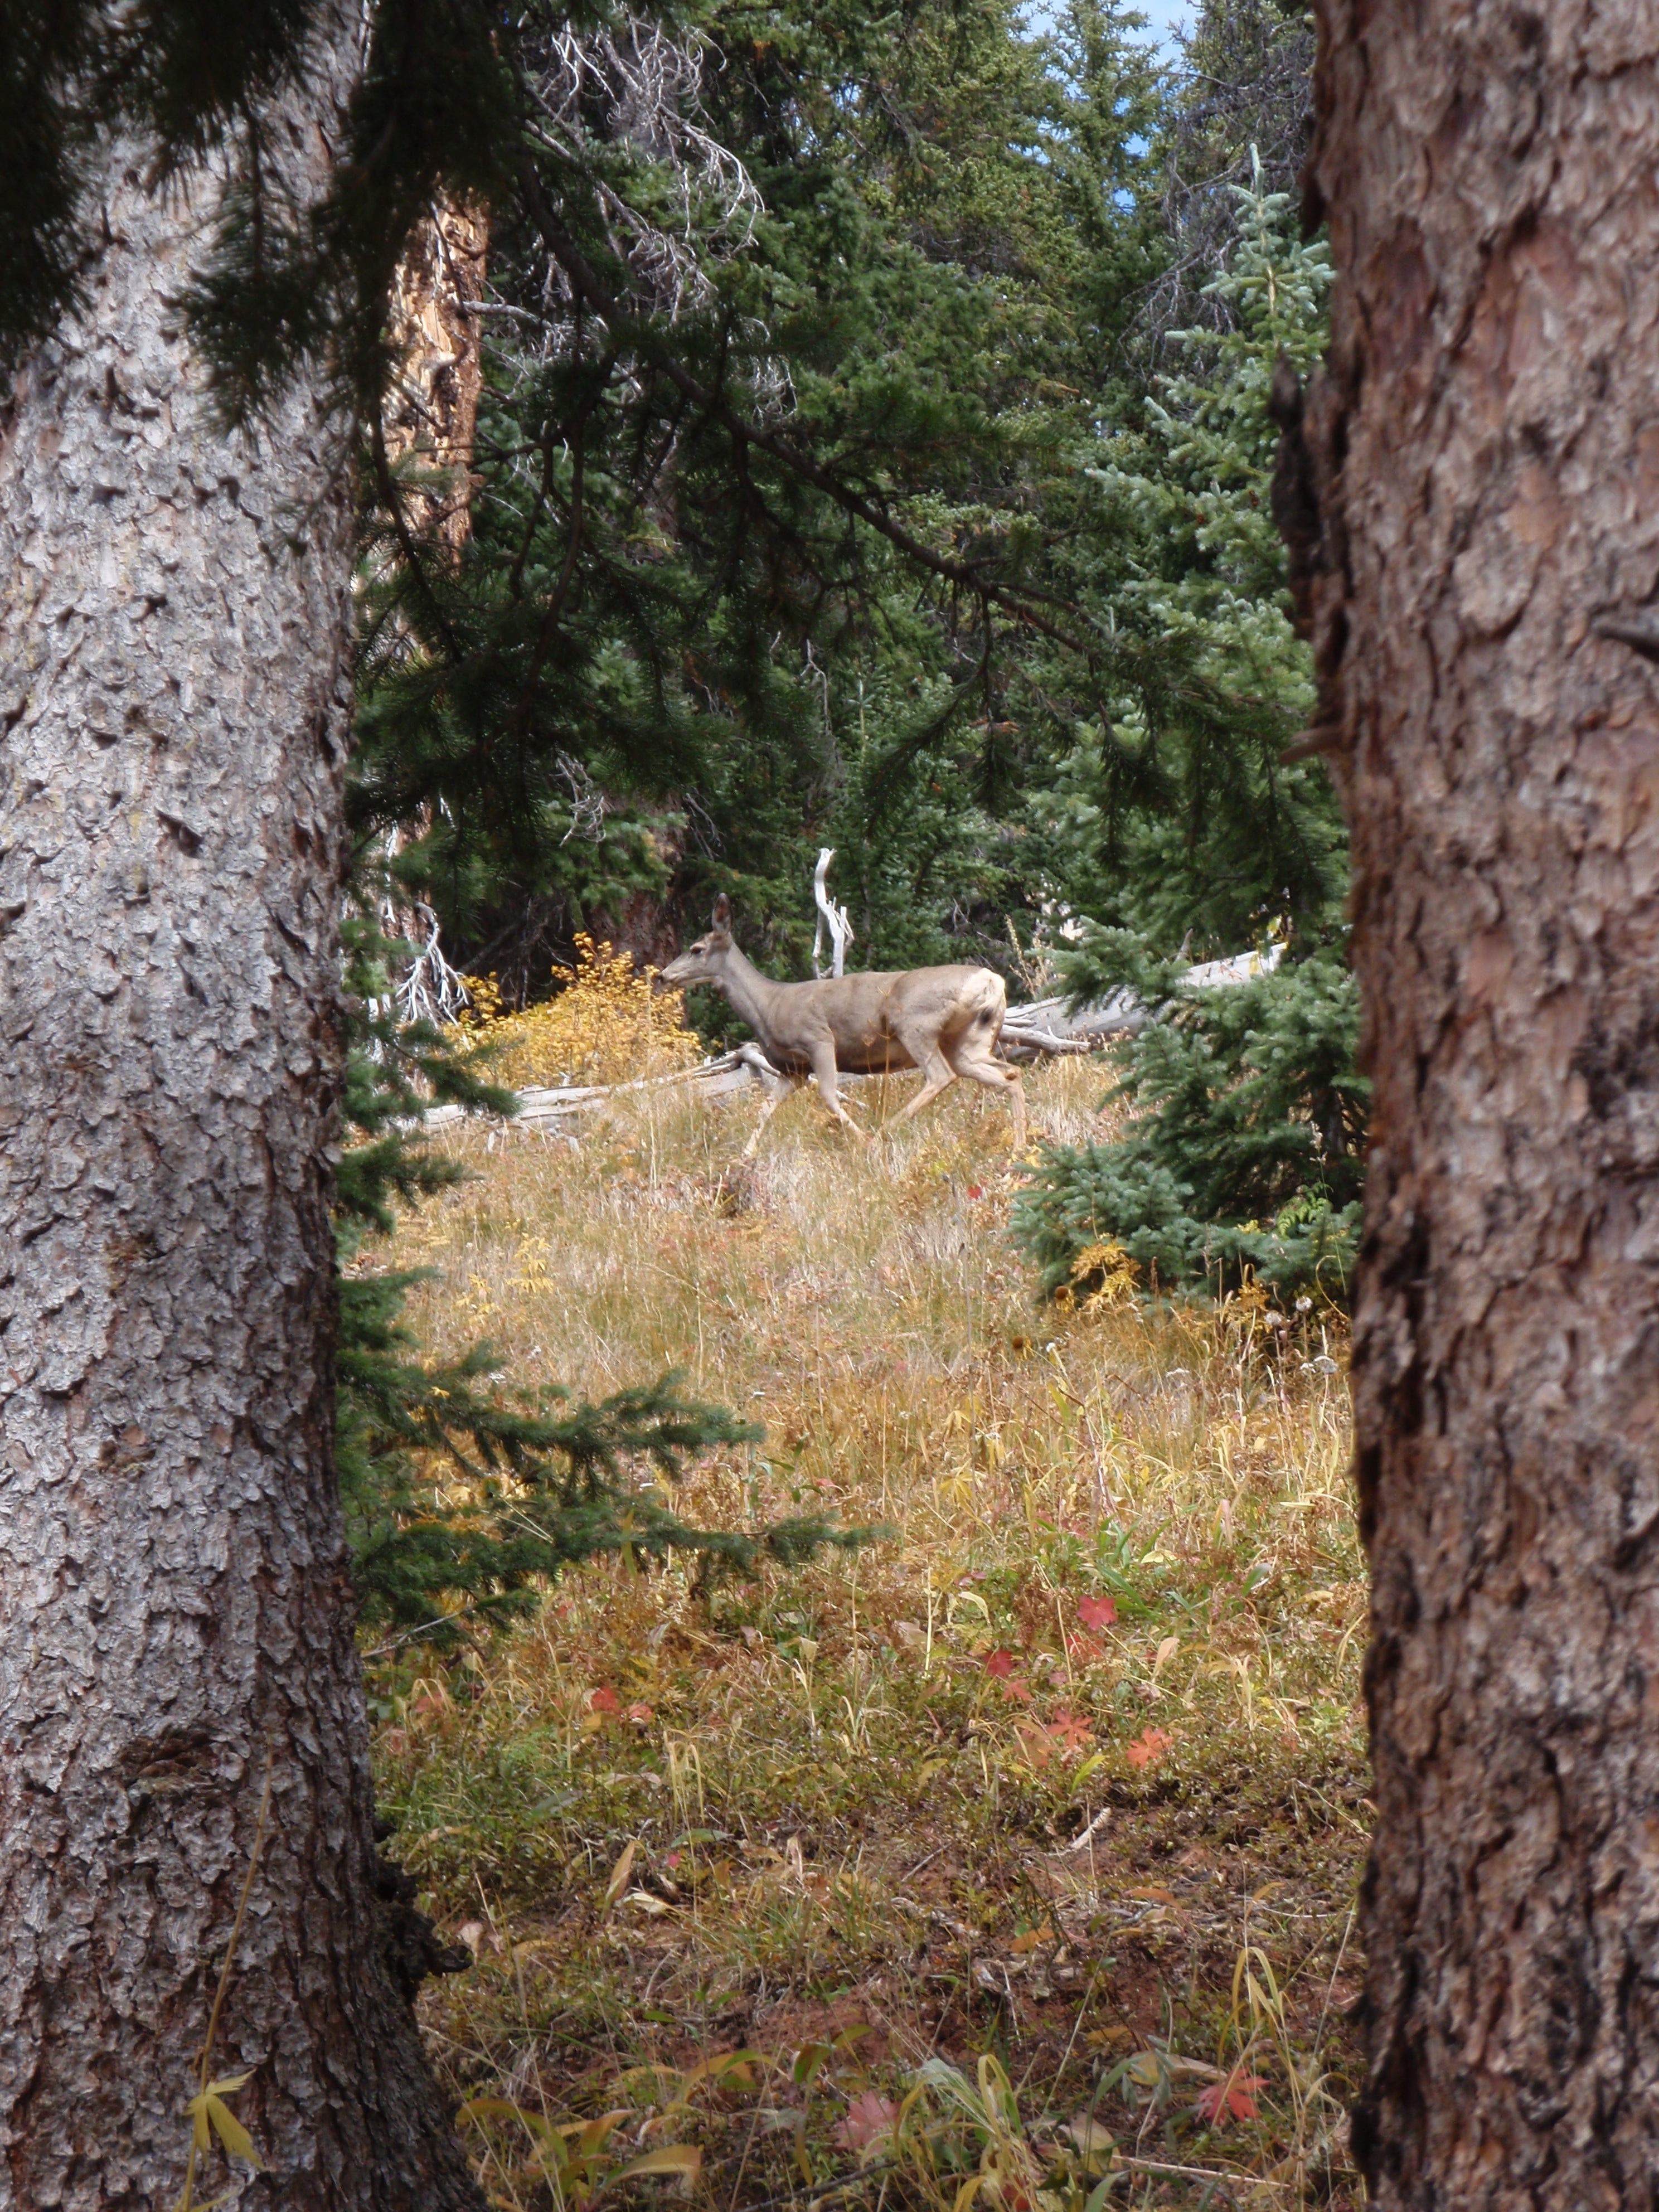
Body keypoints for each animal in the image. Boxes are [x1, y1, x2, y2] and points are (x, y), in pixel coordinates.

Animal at [657, 896, 1027, 1156]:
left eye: (696, 949)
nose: (661, 976)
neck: (769, 1006)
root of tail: (992, 980)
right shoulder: (792, 1070)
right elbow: (766, 1110)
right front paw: (744, 1157)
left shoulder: (818, 1039)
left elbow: (829, 1096)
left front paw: (864, 1141)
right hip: (968, 1041)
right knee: (1010, 1074)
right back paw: (1020, 1145)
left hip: (915, 1025)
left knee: (940, 1076)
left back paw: (884, 1130)